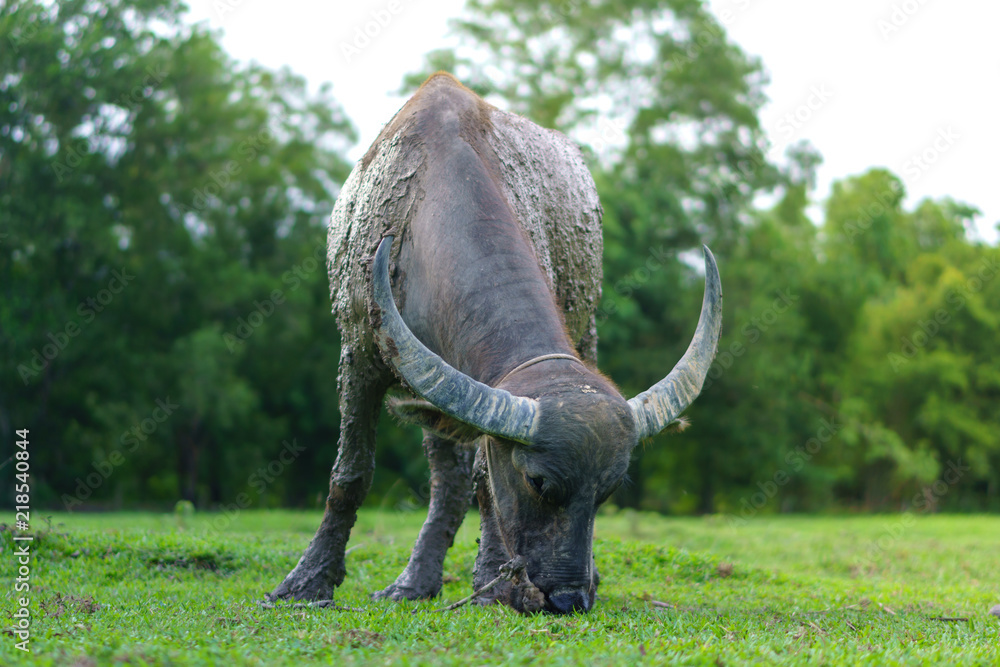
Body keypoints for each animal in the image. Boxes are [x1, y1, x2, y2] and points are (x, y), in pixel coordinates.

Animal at [269, 72, 722, 614]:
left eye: (609, 490)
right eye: (539, 482)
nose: (569, 597)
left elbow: (484, 481)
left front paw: (493, 583)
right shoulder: (358, 355)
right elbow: (351, 474)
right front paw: (306, 582)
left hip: (576, 330)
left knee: (454, 481)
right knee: (447, 479)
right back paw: (413, 583)